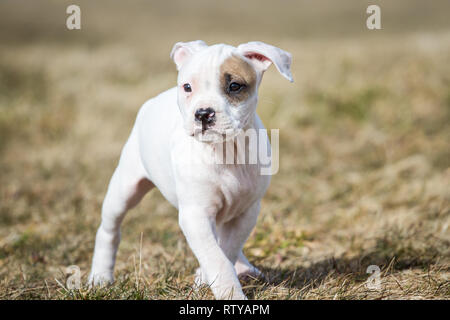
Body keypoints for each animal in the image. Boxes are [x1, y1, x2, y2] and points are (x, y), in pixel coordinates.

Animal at [89, 40, 294, 300]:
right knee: (109, 230)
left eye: (234, 86)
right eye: (187, 87)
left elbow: (226, 250)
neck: (225, 151)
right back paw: (100, 277)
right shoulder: (196, 214)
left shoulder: (245, 212)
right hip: (124, 189)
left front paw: (207, 279)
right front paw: (230, 294)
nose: (203, 113)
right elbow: (217, 259)